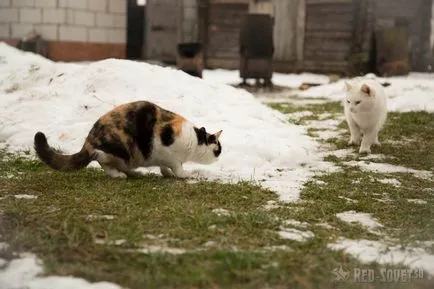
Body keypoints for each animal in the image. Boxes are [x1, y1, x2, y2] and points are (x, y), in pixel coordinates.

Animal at [33, 100, 222, 178]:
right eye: (217, 149)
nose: (220, 156)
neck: (194, 140)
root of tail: (89, 140)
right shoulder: (168, 151)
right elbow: (177, 167)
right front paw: (184, 174)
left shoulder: (164, 157)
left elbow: (165, 167)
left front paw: (166, 173)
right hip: (120, 148)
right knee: (100, 158)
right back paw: (118, 174)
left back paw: (132, 172)